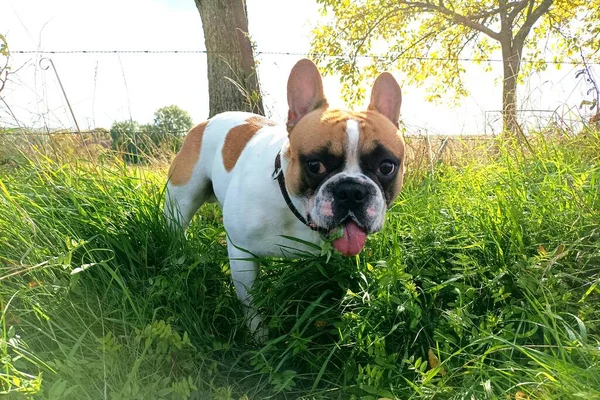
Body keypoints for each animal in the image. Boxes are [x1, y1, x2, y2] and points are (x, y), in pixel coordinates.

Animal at [165, 58, 404, 334]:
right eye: (315, 165)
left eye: (386, 167)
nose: (352, 191)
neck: (295, 210)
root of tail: (207, 121)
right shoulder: (242, 254)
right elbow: (251, 301)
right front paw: (259, 334)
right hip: (182, 199)